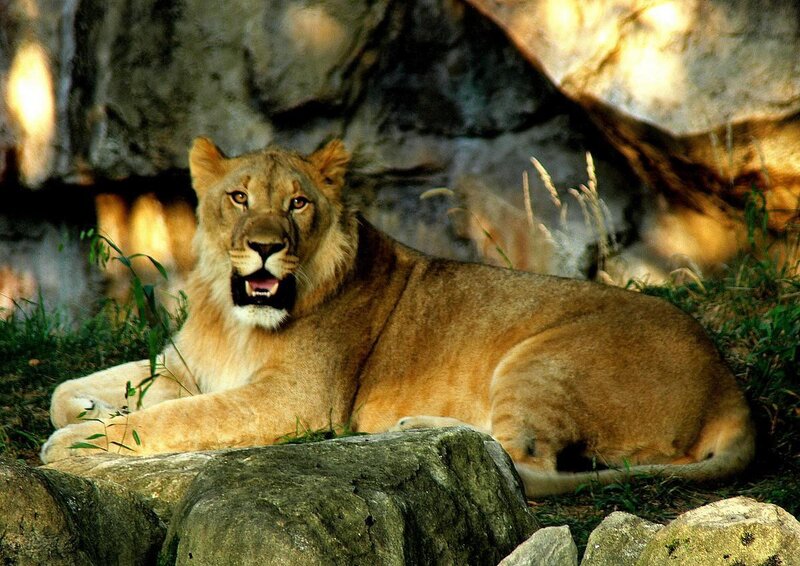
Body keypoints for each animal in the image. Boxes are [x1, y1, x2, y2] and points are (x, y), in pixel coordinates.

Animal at [41, 138, 755, 497]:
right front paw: (95, 410)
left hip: (543, 359)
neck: (236, 318)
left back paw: (407, 430)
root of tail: (730, 387)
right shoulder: (186, 363)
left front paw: (80, 443)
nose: (266, 245)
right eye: (238, 197)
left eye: (298, 203)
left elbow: (172, 419)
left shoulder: (295, 401)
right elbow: (65, 390)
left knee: (530, 465)